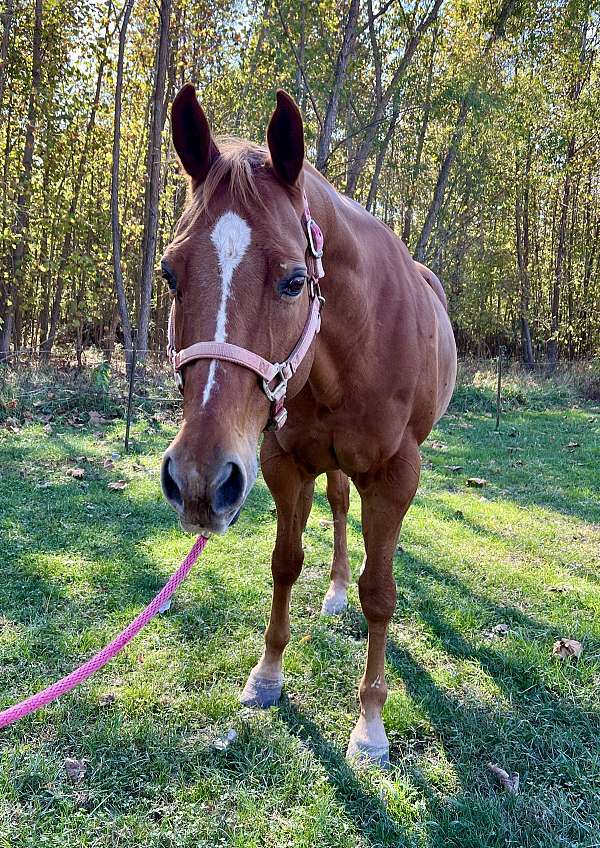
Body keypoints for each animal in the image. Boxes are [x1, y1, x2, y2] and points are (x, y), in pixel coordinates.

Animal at [160, 85, 457, 767]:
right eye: (169, 273)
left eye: (296, 280)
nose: (197, 480)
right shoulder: (281, 462)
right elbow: (285, 562)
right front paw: (267, 675)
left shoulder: (395, 476)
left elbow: (382, 593)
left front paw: (369, 726)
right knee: (340, 505)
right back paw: (334, 590)